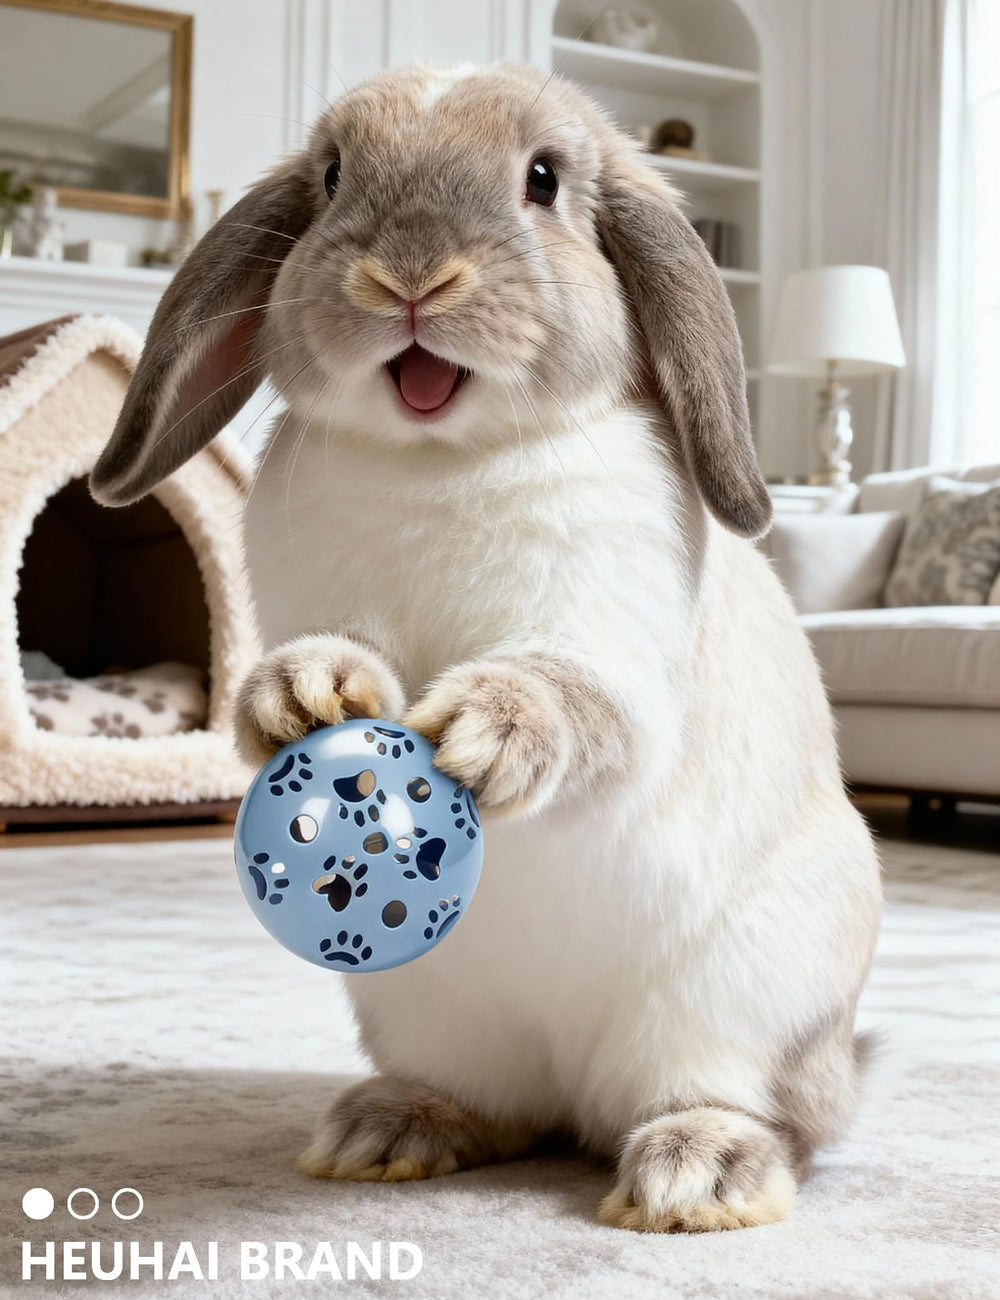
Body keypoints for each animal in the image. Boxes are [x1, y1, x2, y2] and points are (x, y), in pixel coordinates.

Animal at [90, 63, 881, 1233]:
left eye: (543, 180)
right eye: (332, 177)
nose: (407, 279)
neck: (443, 458)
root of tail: (578, 1088)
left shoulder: (613, 656)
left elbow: (578, 702)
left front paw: (477, 730)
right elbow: (322, 659)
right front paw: (302, 698)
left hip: (742, 999)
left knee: (746, 1108)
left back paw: (696, 1177)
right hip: (426, 1010)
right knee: (496, 1107)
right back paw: (388, 1134)